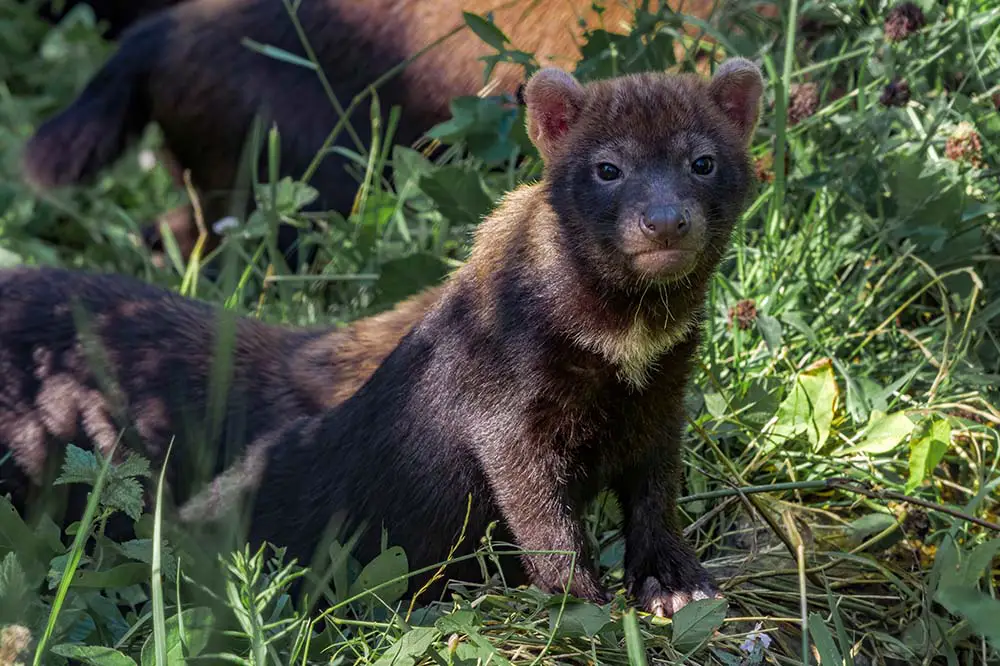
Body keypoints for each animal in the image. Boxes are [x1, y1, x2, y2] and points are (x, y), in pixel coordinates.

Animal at [186, 55, 756, 612]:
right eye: (608, 168)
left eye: (702, 161)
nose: (664, 220)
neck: (625, 348)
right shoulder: (503, 416)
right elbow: (543, 520)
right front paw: (578, 598)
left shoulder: (662, 402)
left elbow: (655, 498)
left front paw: (677, 584)